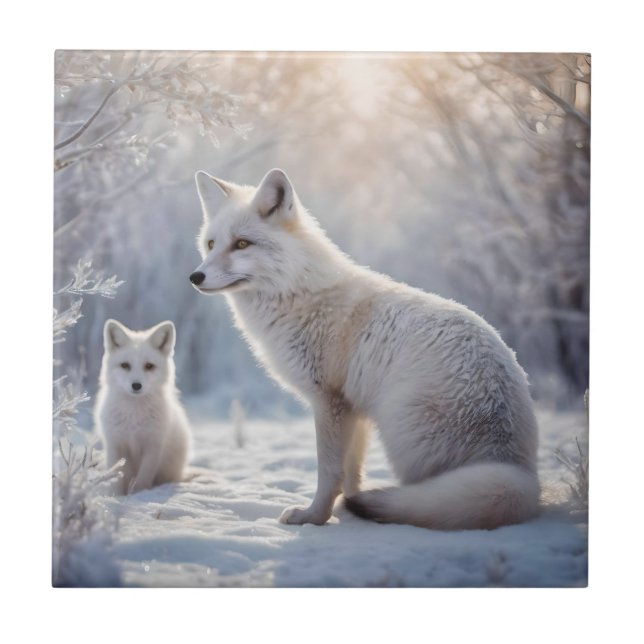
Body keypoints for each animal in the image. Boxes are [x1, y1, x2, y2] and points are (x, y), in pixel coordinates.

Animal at [95, 319, 191, 495]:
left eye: (149, 366)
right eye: (125, 365)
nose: (136, 385)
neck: (134, 416)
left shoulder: (153, 446)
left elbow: (143, 478)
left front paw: (138, 495)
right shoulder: (115, 444)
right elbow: (117, 476)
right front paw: (115, 496)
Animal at [189, 168, 540, 530]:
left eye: (242, 243)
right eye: (211, 244)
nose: (195, 276)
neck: (297, 293)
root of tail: (515, 468)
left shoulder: (328, 402)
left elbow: (329, 472)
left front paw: (314, 517)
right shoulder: (352, 409)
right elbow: (351, 473)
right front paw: (347, 510)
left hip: (402, 438)